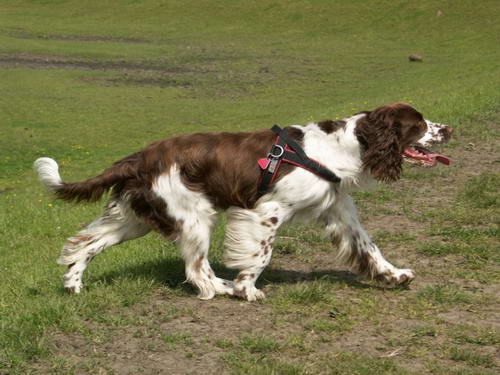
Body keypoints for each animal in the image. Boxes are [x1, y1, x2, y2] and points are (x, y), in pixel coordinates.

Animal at [35, 101, 454, 302]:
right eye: (418, 124)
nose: (448, 129)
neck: (340, 148)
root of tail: (142, 156)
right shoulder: (266, 211)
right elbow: (260, 255)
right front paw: (247, 288)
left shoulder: (340, 211)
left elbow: (370, 248)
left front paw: (394, 276)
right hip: (194, 216)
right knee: (197, 270)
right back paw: (221, 288)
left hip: (135, 217)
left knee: (85, 244)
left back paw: (73, 284)